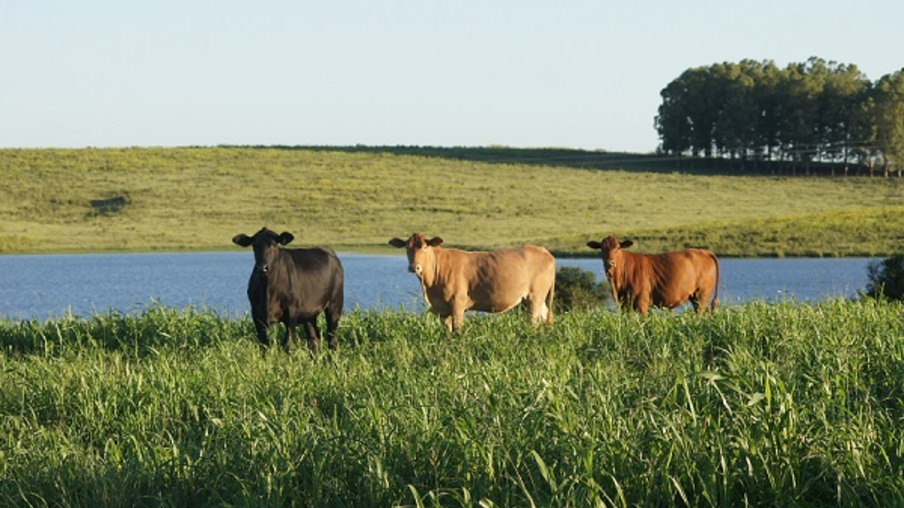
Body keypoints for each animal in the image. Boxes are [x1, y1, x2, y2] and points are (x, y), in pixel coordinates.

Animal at [388, 232, 556, 332]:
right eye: (407, 247)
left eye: (424, 247)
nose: (414, 267)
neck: (430, 287)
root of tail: (543, 251)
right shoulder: (442, 308)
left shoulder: (458, 302)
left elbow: (457, 329)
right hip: (539, 299)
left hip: (535, 296)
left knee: (533, 321)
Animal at [586, 235, 719, 316]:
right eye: (602, 248)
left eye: (618, 248)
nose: (610, 263)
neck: (617, 283)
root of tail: (704, 251)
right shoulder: (624, 305)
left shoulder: (642, 304)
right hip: (695, 296)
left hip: (702, 295)